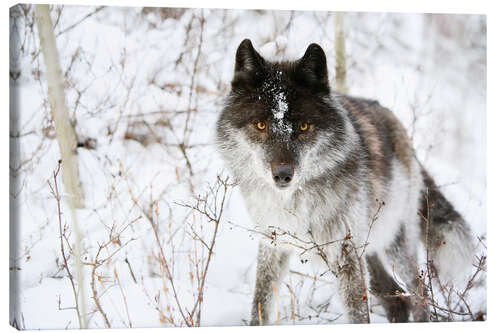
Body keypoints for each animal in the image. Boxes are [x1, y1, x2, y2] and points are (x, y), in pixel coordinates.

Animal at [216, 38, 476, 322]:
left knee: (419, 293)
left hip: (396, 244)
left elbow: (358, 314)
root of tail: (397, 124)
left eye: (304, 127)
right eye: (260, 125)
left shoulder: (347, 257)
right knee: (396, 299)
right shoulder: (272, 246)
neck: (296, 203)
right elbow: (260, 307)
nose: (283, 174)